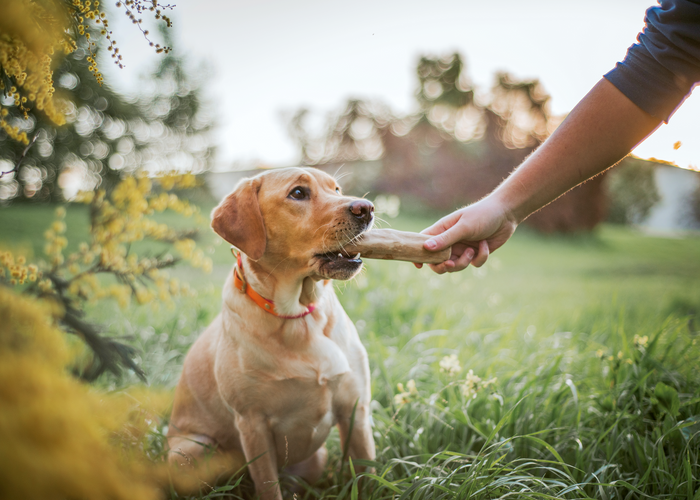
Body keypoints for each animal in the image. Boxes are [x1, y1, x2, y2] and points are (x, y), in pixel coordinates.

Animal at [169, 168, 374, 500]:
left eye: (336, 189)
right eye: (298, 193)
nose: (366, 208)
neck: (298, 315)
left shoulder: (355, 411)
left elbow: (369, 474)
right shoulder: (254, 425)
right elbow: (267, 486)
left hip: (317, 458)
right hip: (190, 451)